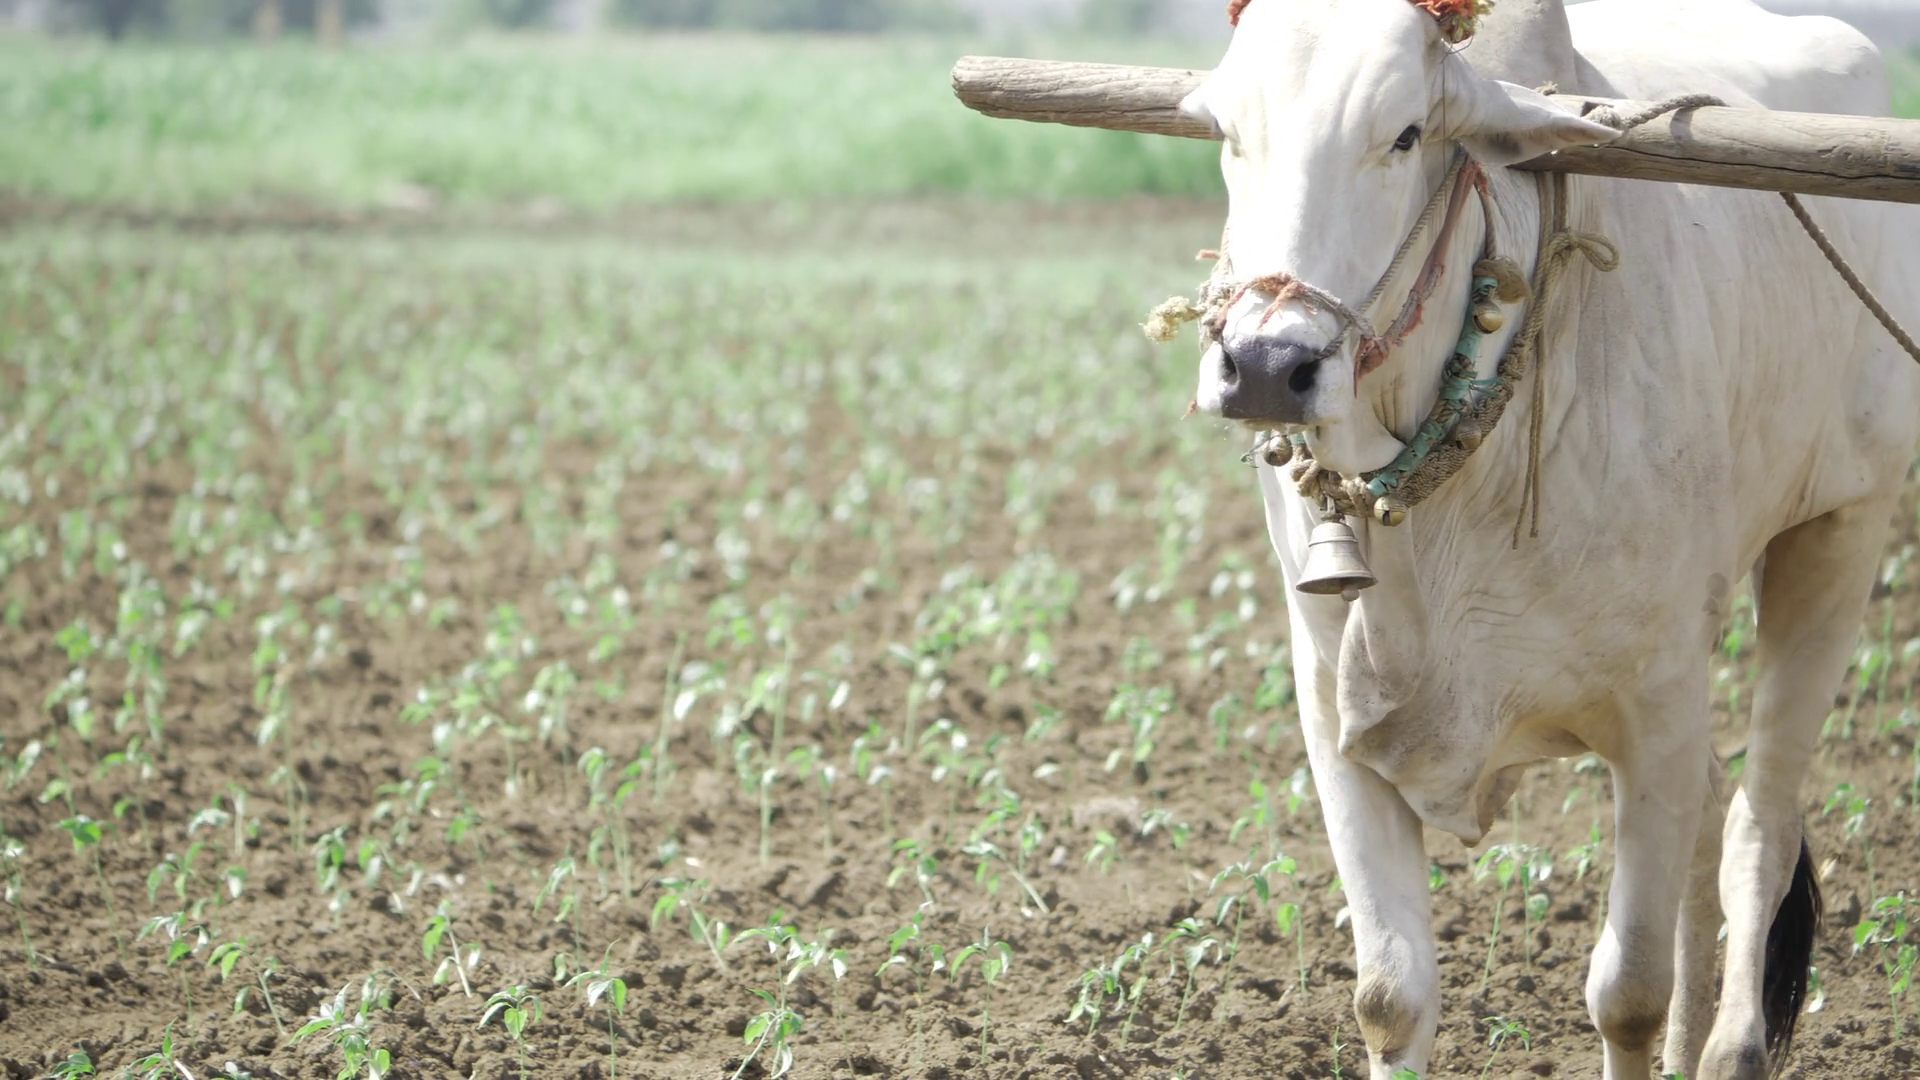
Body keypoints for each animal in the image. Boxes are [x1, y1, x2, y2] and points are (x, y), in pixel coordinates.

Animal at [1173, 0, 1920, 1077]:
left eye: (1406, 135)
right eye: (1227, 132)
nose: (1268, 363)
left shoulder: (1657, 707)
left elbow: (1628, 996)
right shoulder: (1332, 713)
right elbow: (1390, 997)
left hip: (1840, 534)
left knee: (1758, 826)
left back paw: (1730, 1045)